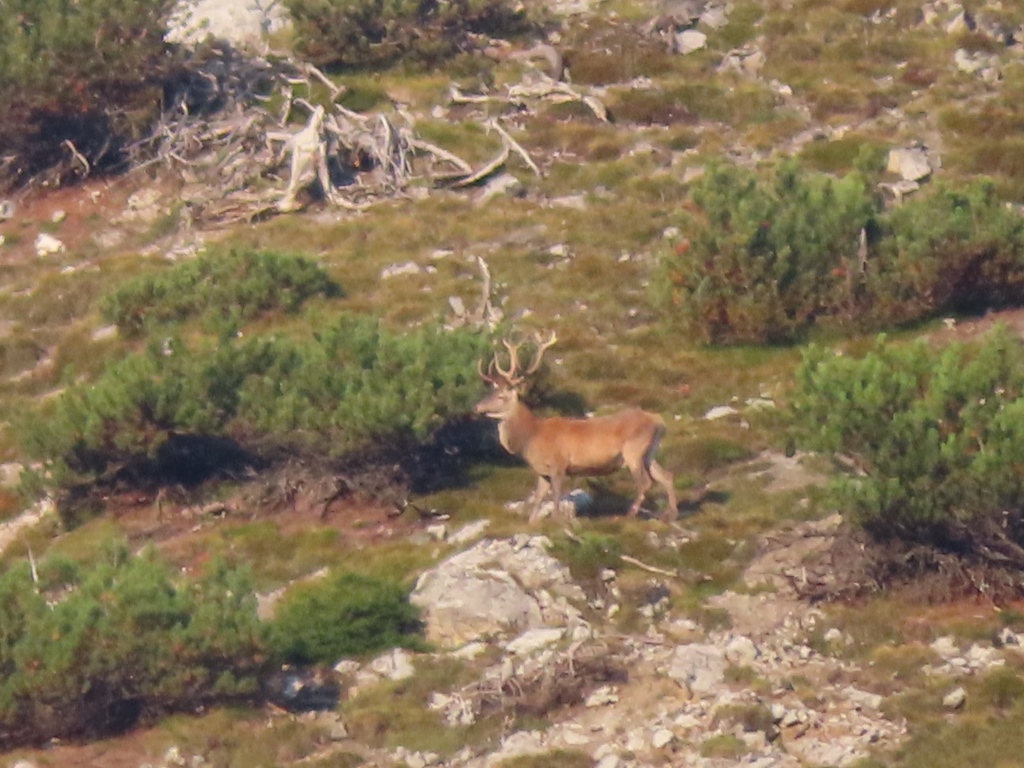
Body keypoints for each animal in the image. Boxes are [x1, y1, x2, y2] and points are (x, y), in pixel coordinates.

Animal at [475, 331, 679, 523]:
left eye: (501, 396)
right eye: (490, 391)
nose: (477, 406)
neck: (531, 437)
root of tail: (659, 421)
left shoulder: (559, 464)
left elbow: (556, 497)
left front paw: (557, 521)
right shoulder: (542, 471)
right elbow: (538, 500)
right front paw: (533, 522)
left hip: (633, 450)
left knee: (645, 482)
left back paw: (629, 515)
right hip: (649, 452)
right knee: (666, 475)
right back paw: (671, 514)